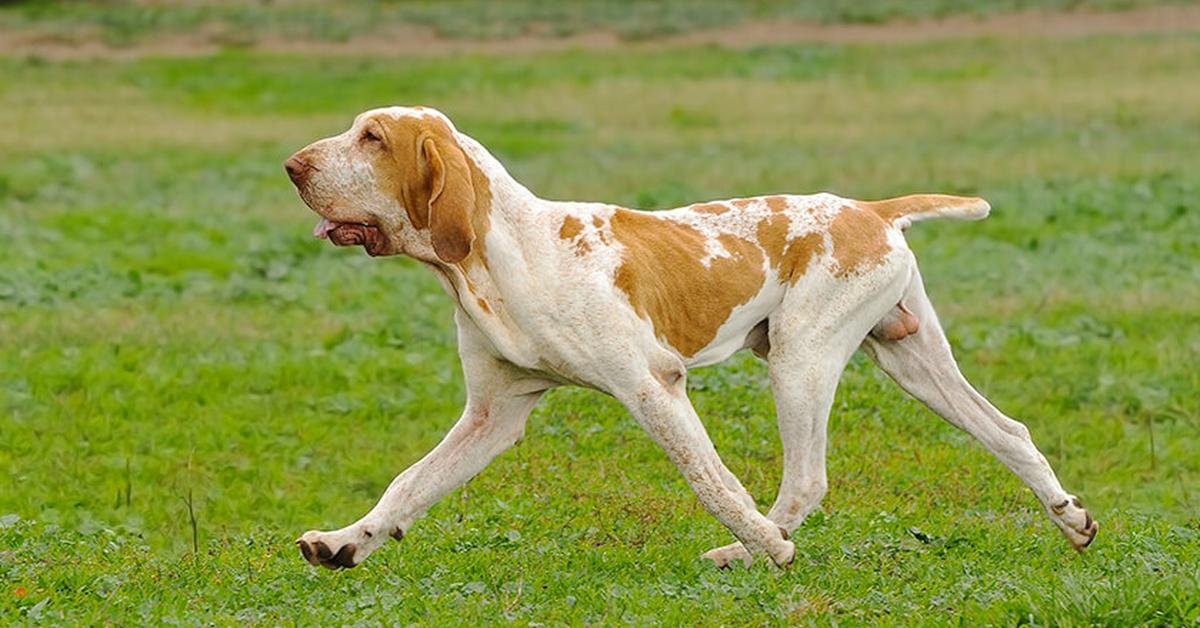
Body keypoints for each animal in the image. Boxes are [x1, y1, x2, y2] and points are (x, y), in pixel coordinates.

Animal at [280, 106, 1099, 569]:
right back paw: (1071, 520)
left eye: (372, 137)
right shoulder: (492, 415)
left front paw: (768, 549)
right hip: (911, 361)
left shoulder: (653, 388)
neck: (506, 253)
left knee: (805, 479)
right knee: (1010, 432)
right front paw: (348, 543)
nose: (291, 166)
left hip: (801, 359)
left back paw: (750, 550)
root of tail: (872, 209)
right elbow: (408, 484)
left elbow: (714, 482)